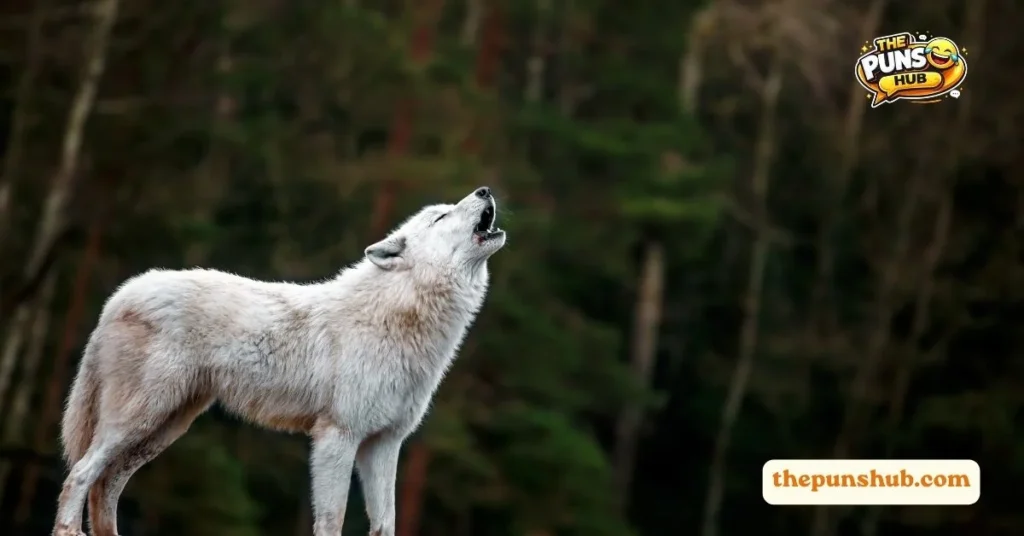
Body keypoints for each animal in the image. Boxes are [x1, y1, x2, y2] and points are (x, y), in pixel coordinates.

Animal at [52, 186, 506, 536]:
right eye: (441, 215)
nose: (485, 190)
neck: (398, 315)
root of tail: (121, 294)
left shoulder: (384, 444)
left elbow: (385, 523)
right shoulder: (336, 436)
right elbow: (332, 520)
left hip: (163, 428)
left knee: (105, 484)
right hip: (139, 418)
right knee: (80, 474)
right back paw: (68, 529)